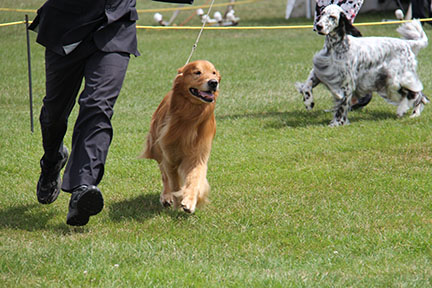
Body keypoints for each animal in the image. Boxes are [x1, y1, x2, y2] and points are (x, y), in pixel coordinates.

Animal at [296, 4, 428, 126]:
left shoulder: (347, 83)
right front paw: (308, 103)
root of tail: (407, 43)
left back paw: (410, 112)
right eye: (322, 13)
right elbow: (307, 86)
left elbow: (342, 105)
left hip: (395, 80)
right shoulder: (321, 71)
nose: (318, 26)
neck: (336, 47)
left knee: (417, 94)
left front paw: (337, 123)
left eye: (332, 17)